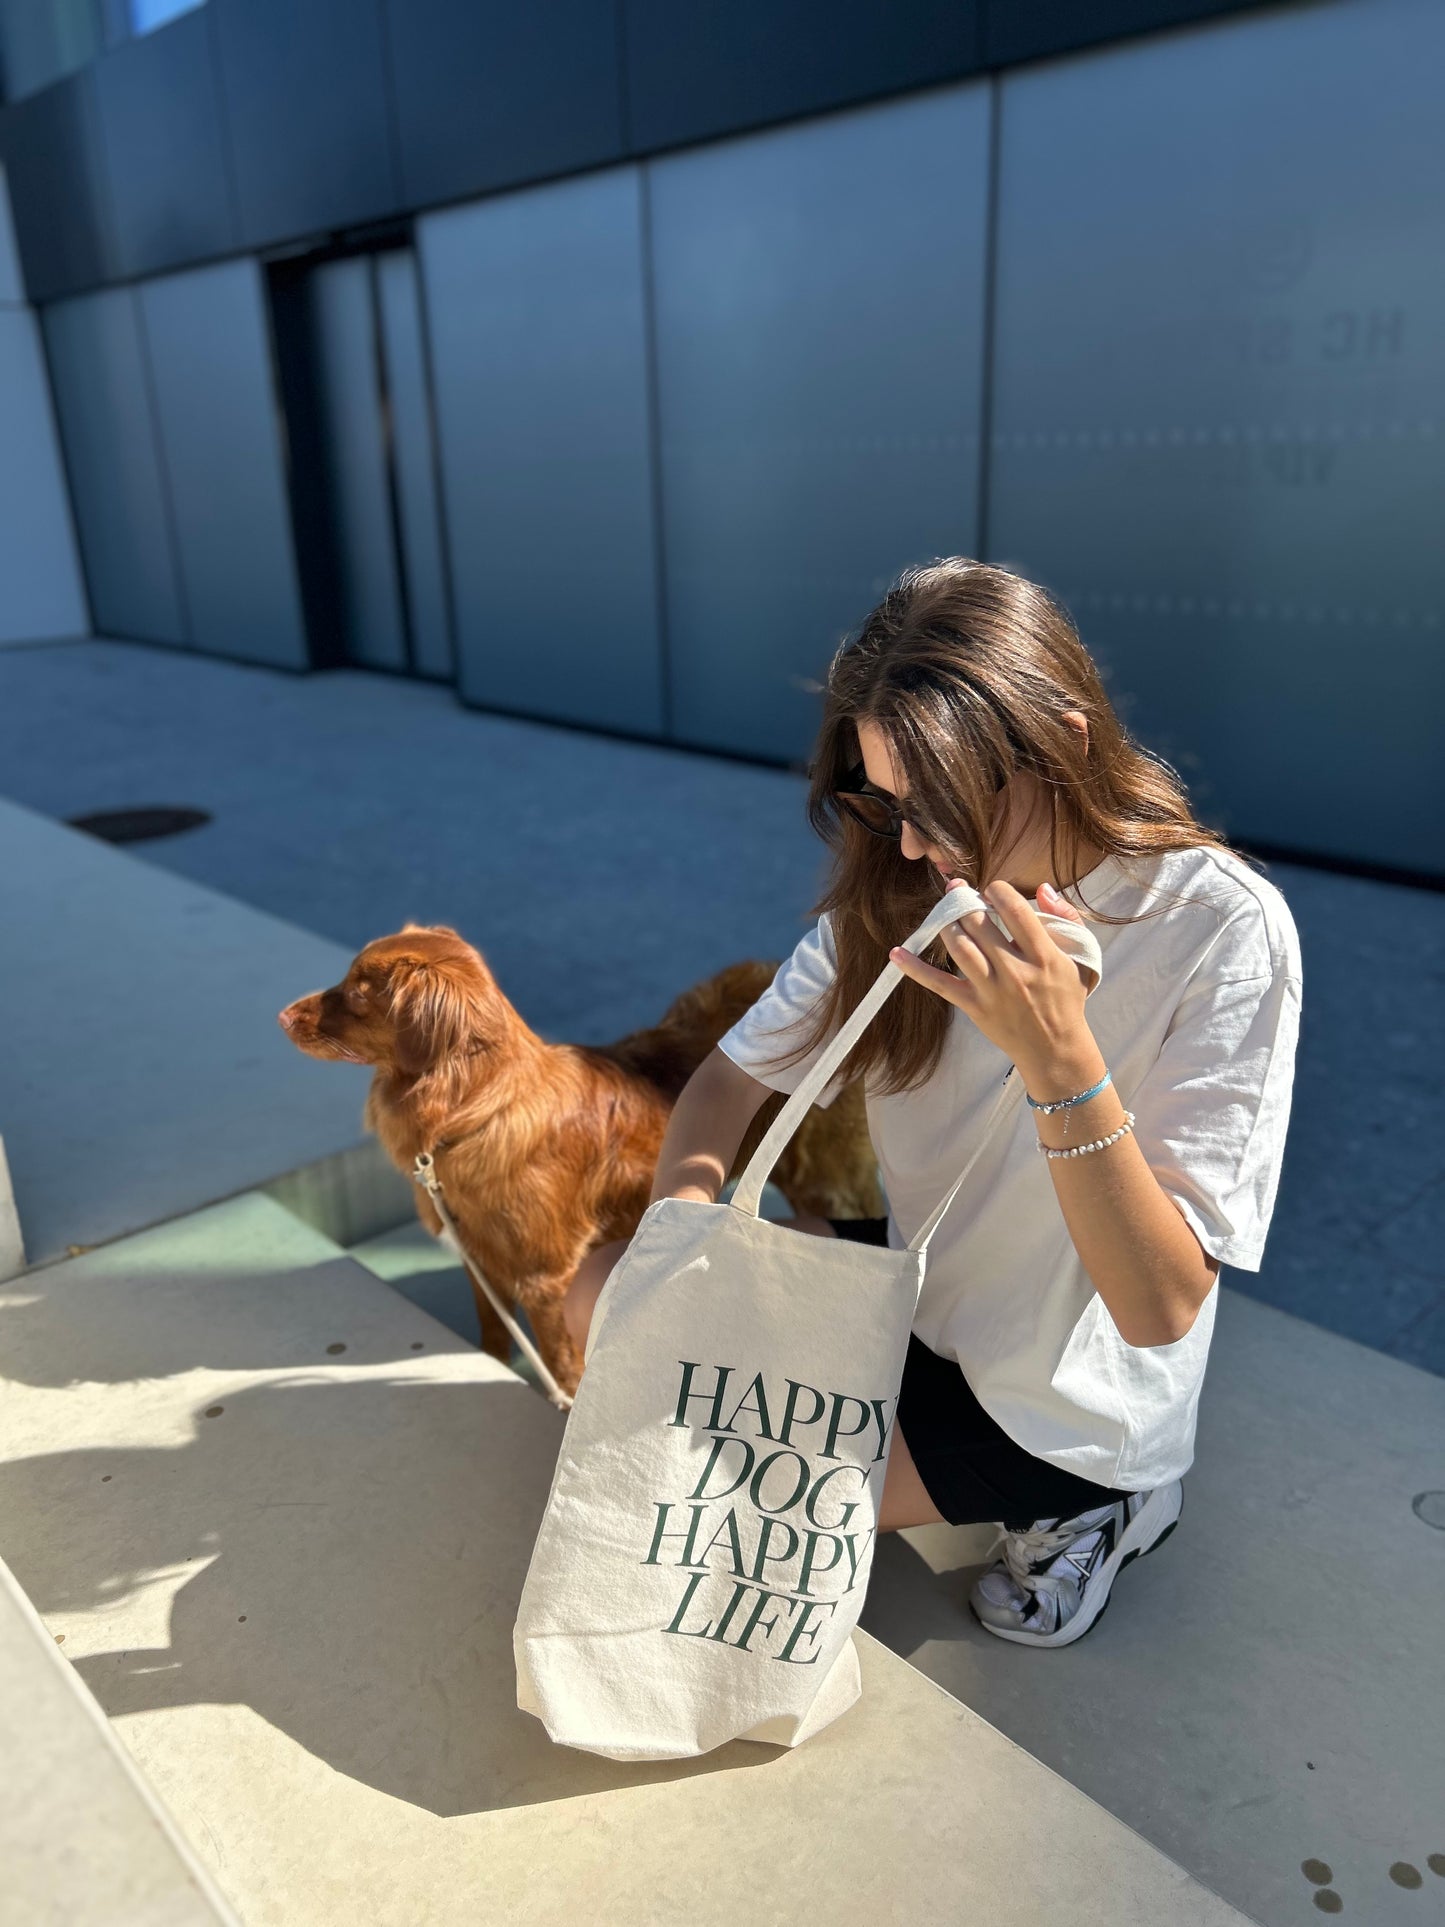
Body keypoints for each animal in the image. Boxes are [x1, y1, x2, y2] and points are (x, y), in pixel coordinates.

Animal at [273, 924, 882, 1395]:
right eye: (346, 979)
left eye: (358, 994)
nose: (281, 1016)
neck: (474, 1114)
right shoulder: (482, 1264)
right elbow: (493, 1338)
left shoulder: (547, 1281)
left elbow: (563, 1367)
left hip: (826, 1179)